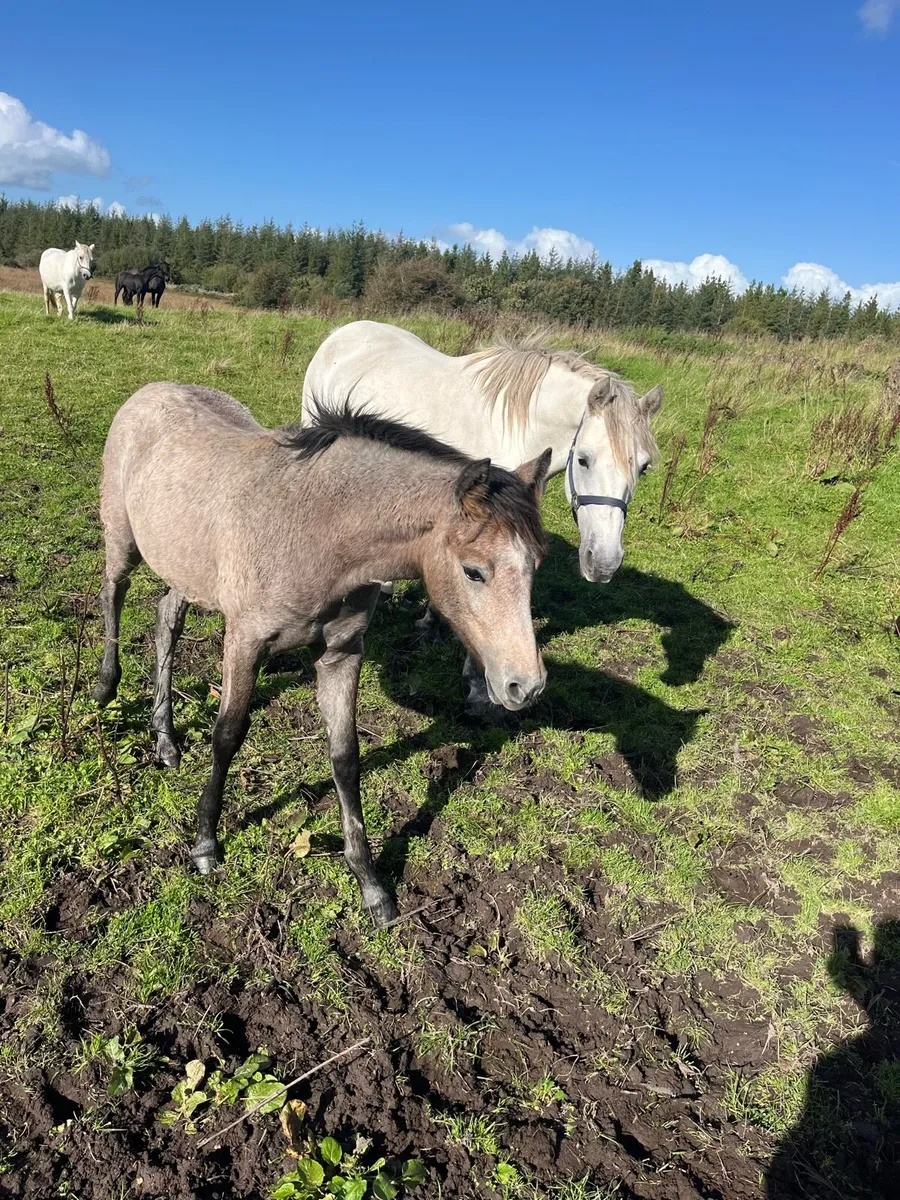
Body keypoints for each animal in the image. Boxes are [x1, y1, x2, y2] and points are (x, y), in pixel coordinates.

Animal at [92, 383, 550, 926]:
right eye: (473, 571)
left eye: (536, 565)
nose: (525, 685)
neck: (318, 534)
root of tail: (149, 392)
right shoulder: (244, 642)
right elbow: (227, 736)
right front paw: (205, 844)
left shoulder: (341, 654)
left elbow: (345, 756)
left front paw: (371, 885)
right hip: (122, 540)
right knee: (113, 594)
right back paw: (104, 688)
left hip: (183, 568)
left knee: (167, 622)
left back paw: (164, 739)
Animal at [302, 320, 662, 710]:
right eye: (583, 459)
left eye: (644, 467)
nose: (605, 563)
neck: (516, 429)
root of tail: (346, 331)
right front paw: (478, 686)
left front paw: (433, 627)